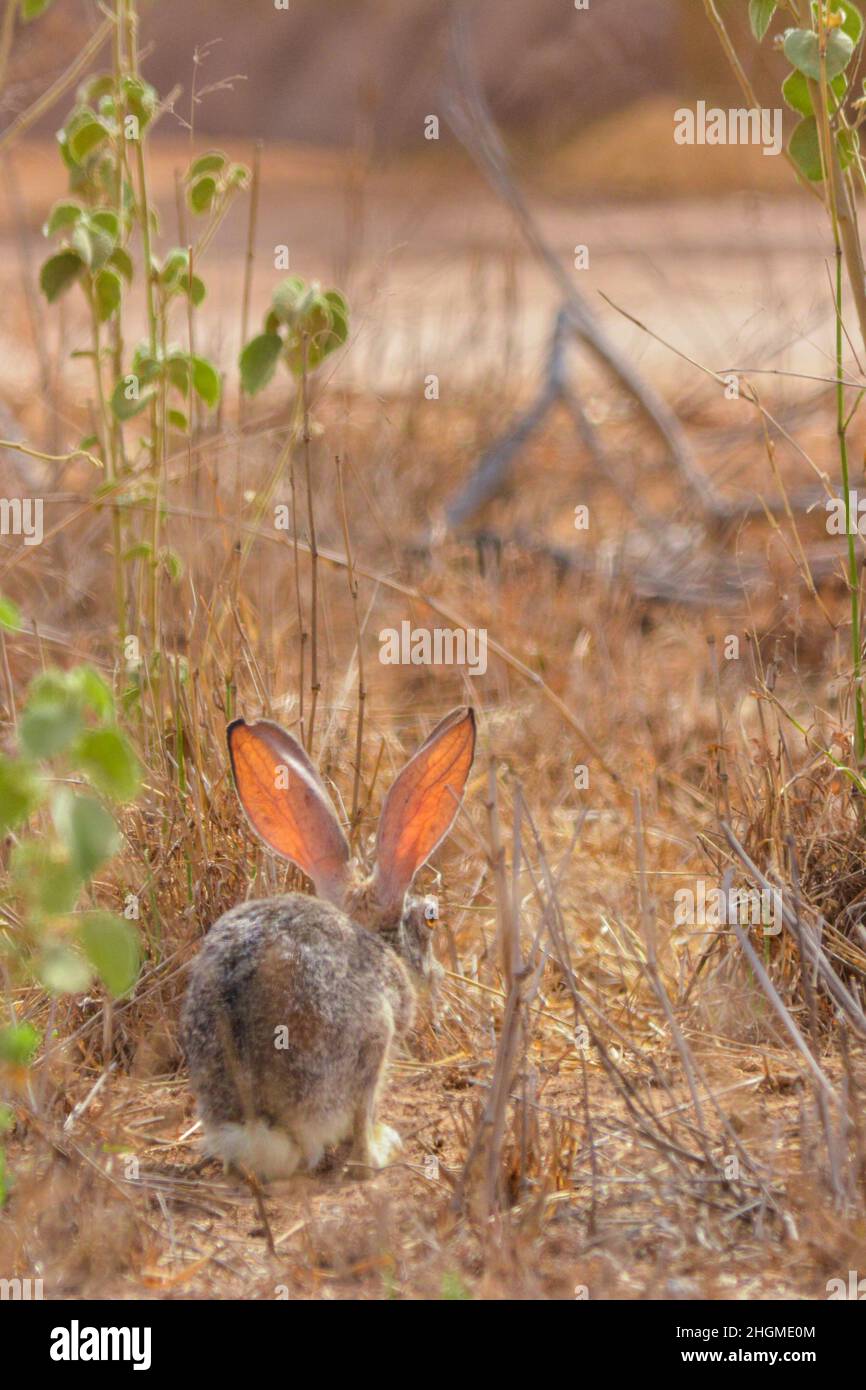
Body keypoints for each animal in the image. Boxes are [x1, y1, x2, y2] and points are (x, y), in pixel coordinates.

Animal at [180, 711, 475, 1178]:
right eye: (431, 917)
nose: (437, 976)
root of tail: (261, 1127)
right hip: (371, 1040)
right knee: (359, 1125)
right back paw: (380, 1151)